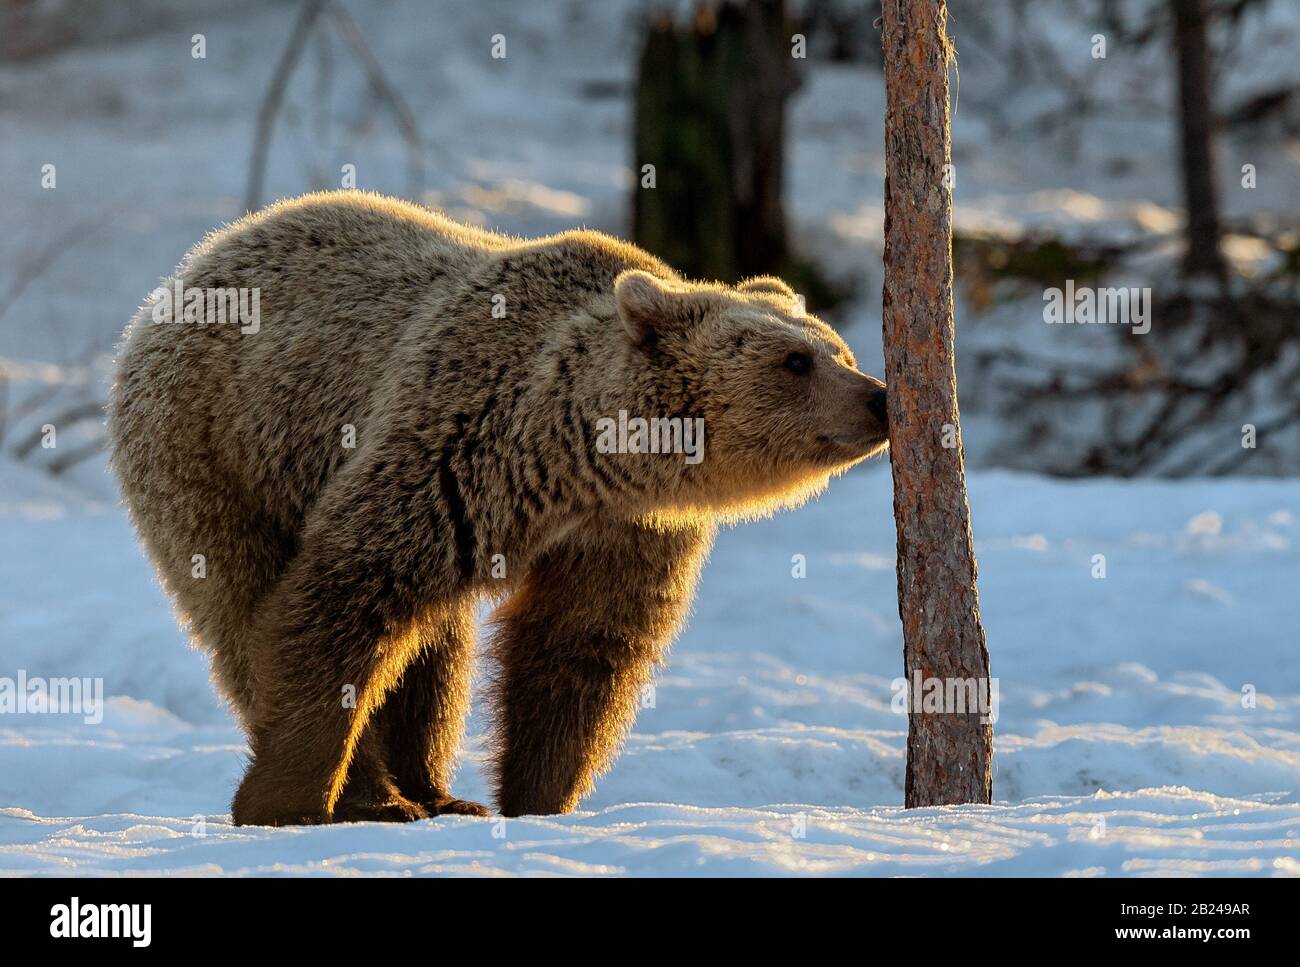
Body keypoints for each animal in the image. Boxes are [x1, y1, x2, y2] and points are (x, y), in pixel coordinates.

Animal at [106, 191, 889, 821]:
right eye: (795, 361)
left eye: (839, 349)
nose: (879, 396)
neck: (586, 460)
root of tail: (189, 269)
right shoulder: (453, 450)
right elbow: (340, 601)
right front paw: (286, 800)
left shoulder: (626, 532)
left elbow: (578, 647)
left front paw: (540, 798)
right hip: (216, 449)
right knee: (243, 606)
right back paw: (381, 795)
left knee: (434, 650)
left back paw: (434, 790)